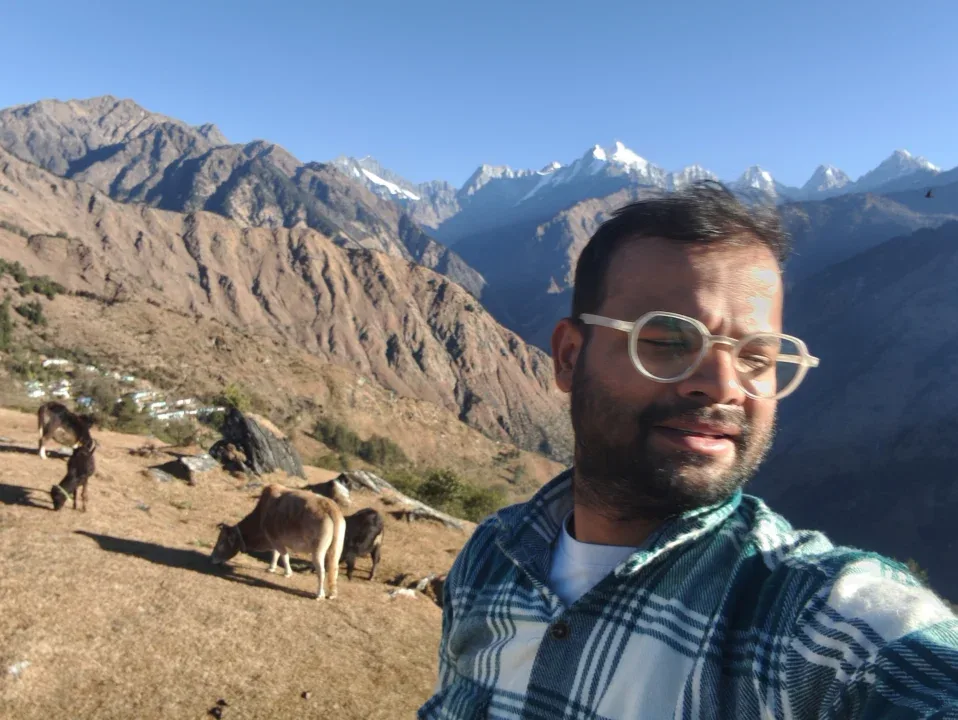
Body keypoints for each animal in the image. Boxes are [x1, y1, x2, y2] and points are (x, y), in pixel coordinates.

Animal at [210, 484, 346, 600]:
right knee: (334, 568)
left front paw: (287, 573)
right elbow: (275, 554)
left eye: (221, 543)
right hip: (336, 549)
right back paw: (332, 594)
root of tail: (329, 506)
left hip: (318, 551)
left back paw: (319, 594)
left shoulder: (276, 539)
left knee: (321, 571)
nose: (212, 559)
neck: (262, 514)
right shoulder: (273, 540)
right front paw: (271, 568)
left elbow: (284, 556)